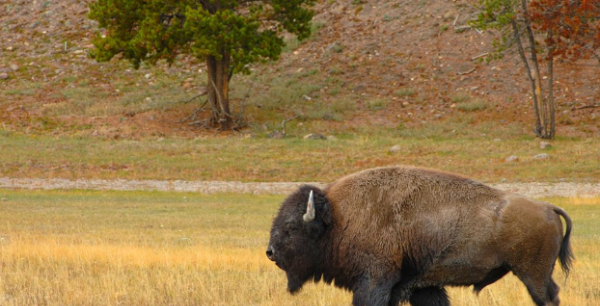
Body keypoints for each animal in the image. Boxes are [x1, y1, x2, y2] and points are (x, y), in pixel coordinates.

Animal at [266, 166, 572, 304]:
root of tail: (547, 206)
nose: (270, 252)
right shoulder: (422, 285)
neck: (339, 217)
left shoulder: (374, 280)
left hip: (532, 275)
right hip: (537, 275)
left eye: (291, 228)